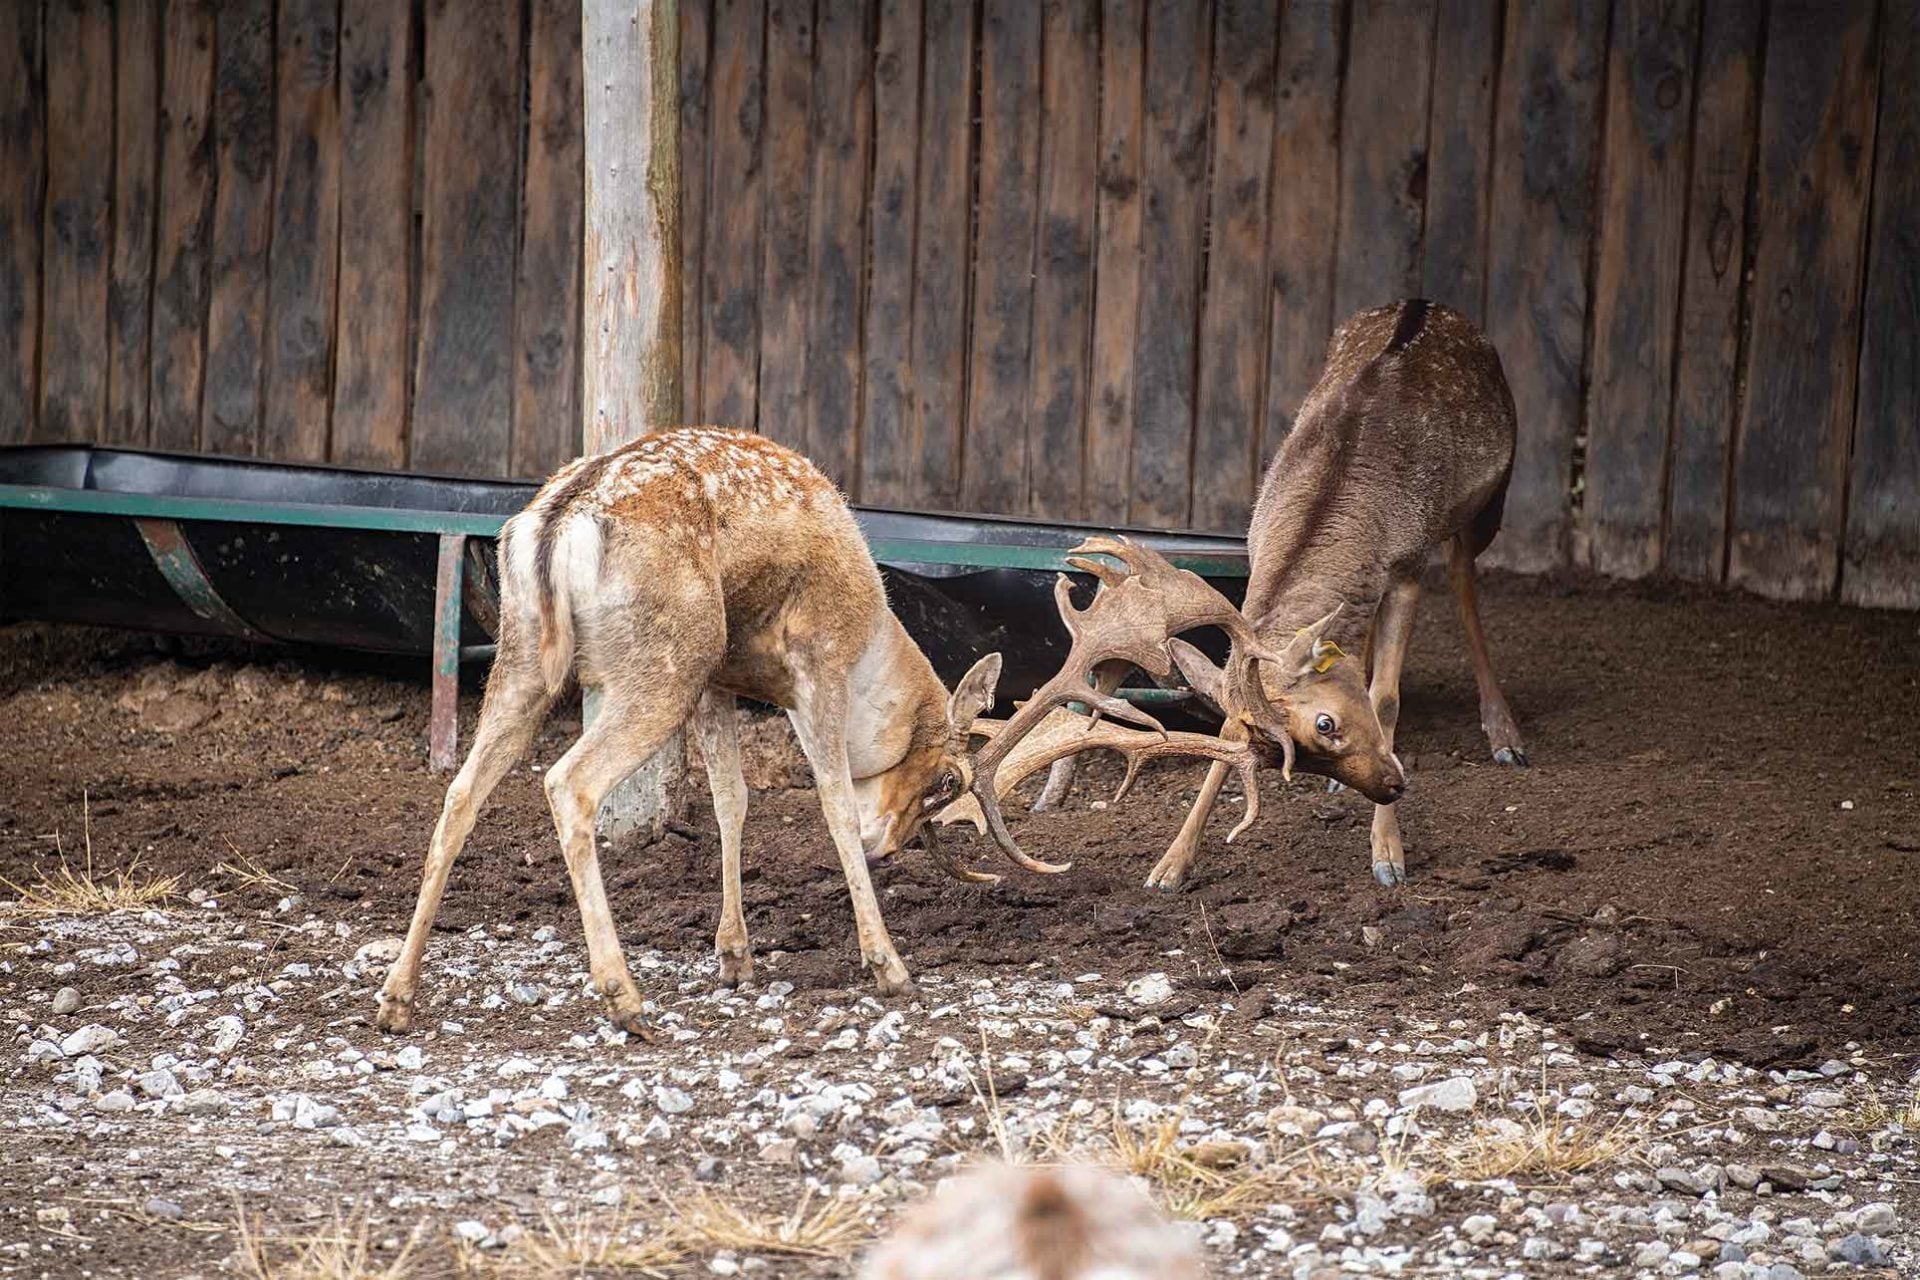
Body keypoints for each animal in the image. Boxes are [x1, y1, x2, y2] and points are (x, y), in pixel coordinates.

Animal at [380, 426, 1036, 1036]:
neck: (869, 647)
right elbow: (834, 805)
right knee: (569, 781)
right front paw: (890, 966)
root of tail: (555, 524)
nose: (889, 848)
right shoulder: (817, 664)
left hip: (524, 653)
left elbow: (731, 800)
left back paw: (397, 998)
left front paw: (735, 957)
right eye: (948, 782)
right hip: (666, 658)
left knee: (462, 790)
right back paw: (624, 997)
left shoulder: (719, 681)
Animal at [952, 301, 1520, 890]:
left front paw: (1388, 852)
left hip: (1487, 504)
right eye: (1266, 746)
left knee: (1466, 583)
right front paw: (1171, 864)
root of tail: (1430, 304)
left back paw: (1505, 734)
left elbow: (1386, 697)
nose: (1393, 783)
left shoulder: (1408, 565)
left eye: (1326, 724)